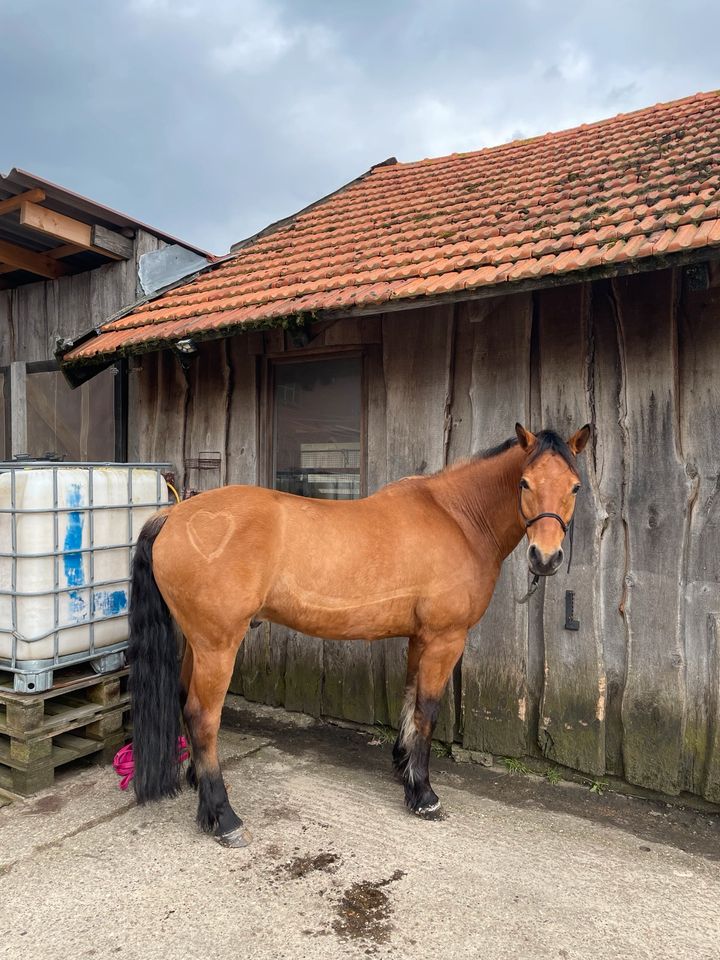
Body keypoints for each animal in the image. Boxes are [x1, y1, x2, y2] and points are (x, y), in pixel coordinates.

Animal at [129, 424, 592, 844]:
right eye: (524, 482)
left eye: (574, 487)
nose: (546, 558)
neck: (457, 516)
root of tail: (173, 515)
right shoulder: (445, 639)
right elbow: (427, 709)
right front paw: (423, 794)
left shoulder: (421, 638)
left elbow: (410, 699)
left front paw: (404, 766)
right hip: (218, 646)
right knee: (203, 717)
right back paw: (223, 817)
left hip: (198, 644)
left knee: (184, 700)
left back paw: (197, 783)